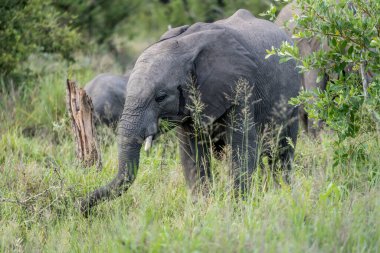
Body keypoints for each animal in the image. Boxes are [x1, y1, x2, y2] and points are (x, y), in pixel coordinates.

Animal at [79, 8, 300, 212]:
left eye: (160, 97)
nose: (80, 206)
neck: (186, 47)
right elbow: (192, 155)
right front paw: (203, 209)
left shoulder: (240, 87)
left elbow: (243, 148)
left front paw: (236, 210)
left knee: (282, 153)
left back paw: (283, 192)